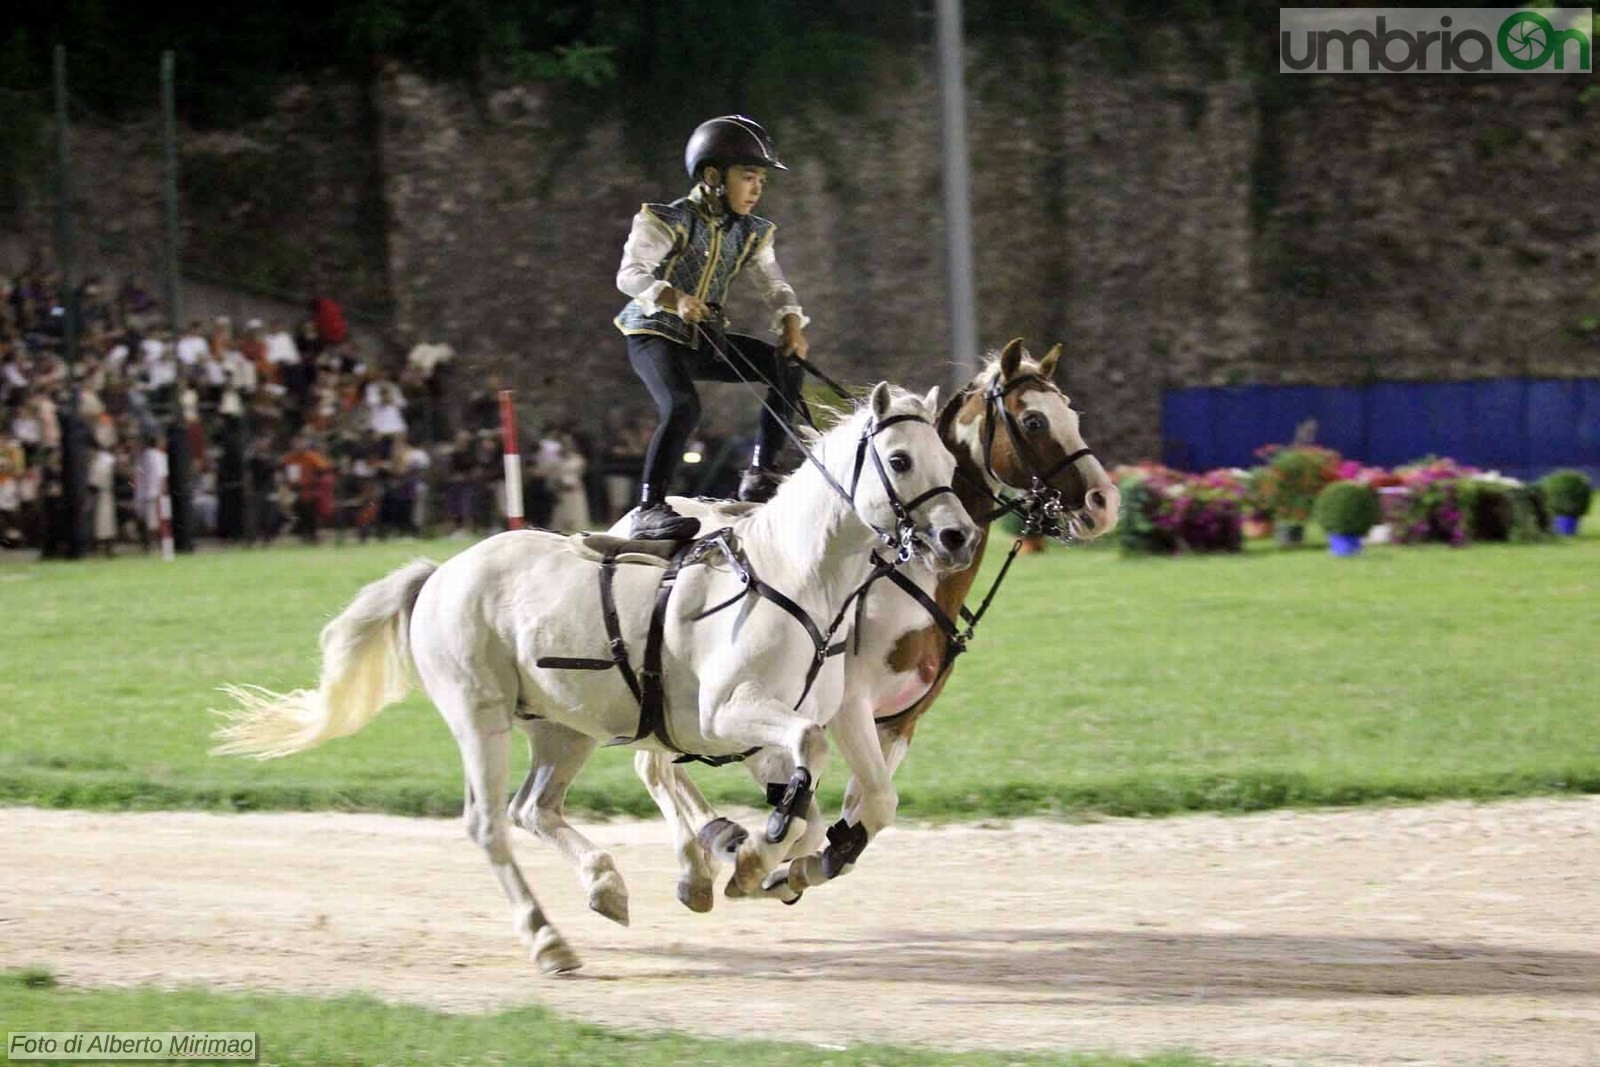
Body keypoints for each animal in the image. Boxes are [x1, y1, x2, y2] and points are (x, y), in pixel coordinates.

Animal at [212, 383, 972, 979]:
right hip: (480, 718)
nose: (958, 537)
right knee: (491, 823)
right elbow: (805, 764)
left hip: (564, 729)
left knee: (534, 809)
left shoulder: (812, 721)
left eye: (950, 461)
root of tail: (441, 573)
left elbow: (833, 803)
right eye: (900, 460)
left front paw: (765, 862)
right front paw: (757, 854)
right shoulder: (730, 715)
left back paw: (607, 885)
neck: (795, 582)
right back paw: (549, 940)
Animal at [617, 342, 1120, 908]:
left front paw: (804, 863)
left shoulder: (901, 721)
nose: (1104, 502)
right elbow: (865, 800)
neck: (905, 580)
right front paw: (780, 859)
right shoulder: (848, 707)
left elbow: (867, 808)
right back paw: (703, 855)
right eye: (1034, 420)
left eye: (1072, 414)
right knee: (654, 764)